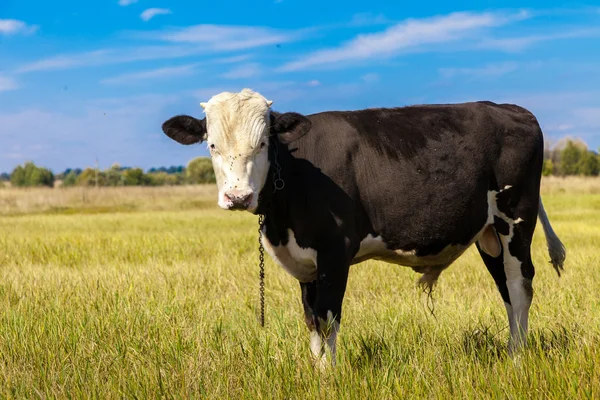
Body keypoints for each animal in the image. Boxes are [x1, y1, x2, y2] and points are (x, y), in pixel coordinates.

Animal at [161, 88, 568, 368]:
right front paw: (316, 372)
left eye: (262, 143)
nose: (238, 196)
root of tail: (511, 108)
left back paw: (518, 358)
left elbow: (327, 318)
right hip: (488, 234)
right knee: (505, 289)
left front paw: (329, 376)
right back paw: (512, 351)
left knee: (520, 286)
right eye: (212, 145)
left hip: (516, 220)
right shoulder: (306, 263)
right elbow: (311, 319)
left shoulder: (335, 251)